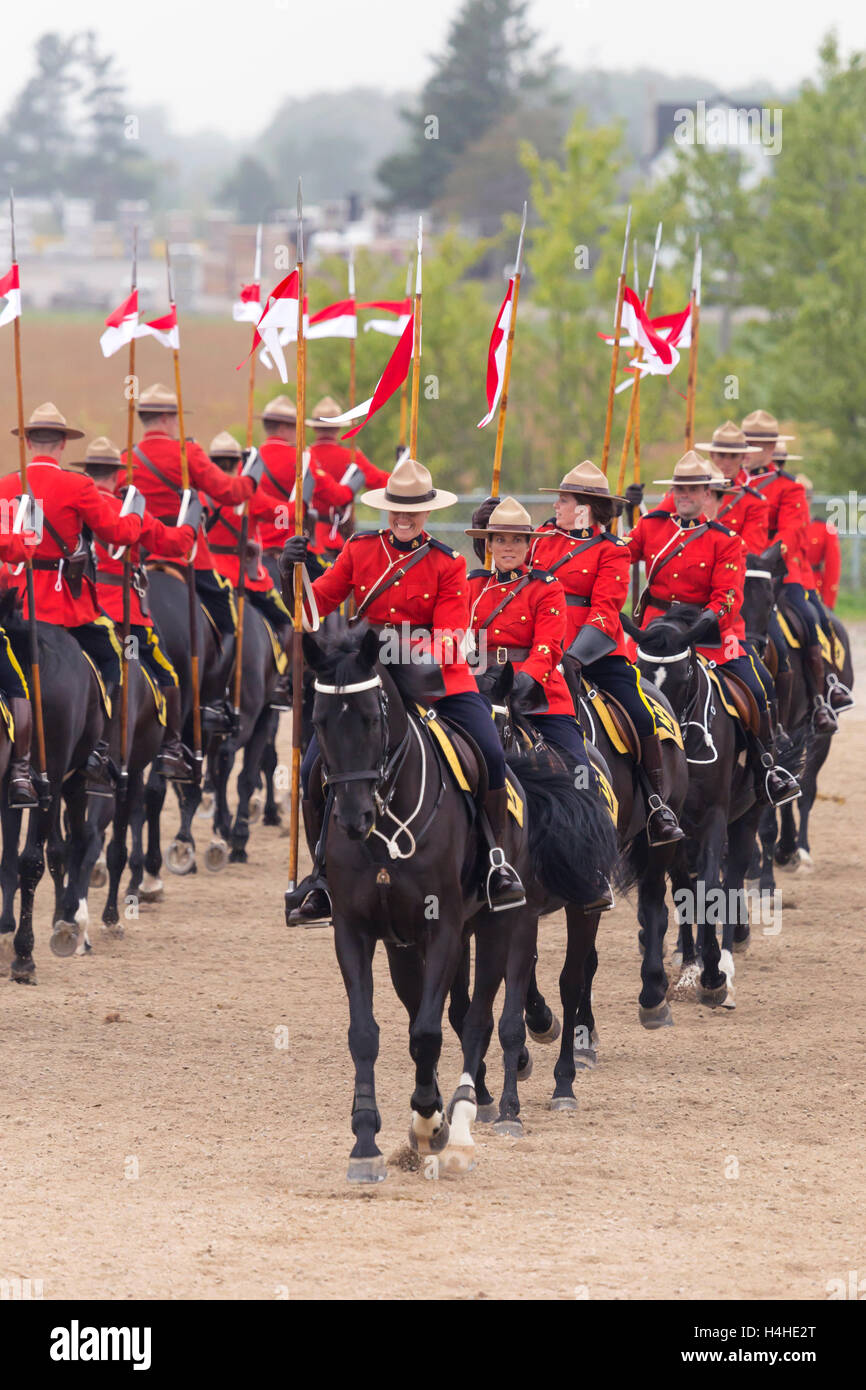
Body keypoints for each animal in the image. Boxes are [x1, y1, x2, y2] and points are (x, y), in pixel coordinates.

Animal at [297, 625, 617, 1178]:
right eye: (319, 721)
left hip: (522, 919)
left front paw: (433, 1122)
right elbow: (371, 1031)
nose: (354, 818)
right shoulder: (363, 932)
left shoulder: (449, 925)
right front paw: (366, 1141)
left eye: (372, 717)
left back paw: (504, 1098)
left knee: (528, 998)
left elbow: (440, 1029)